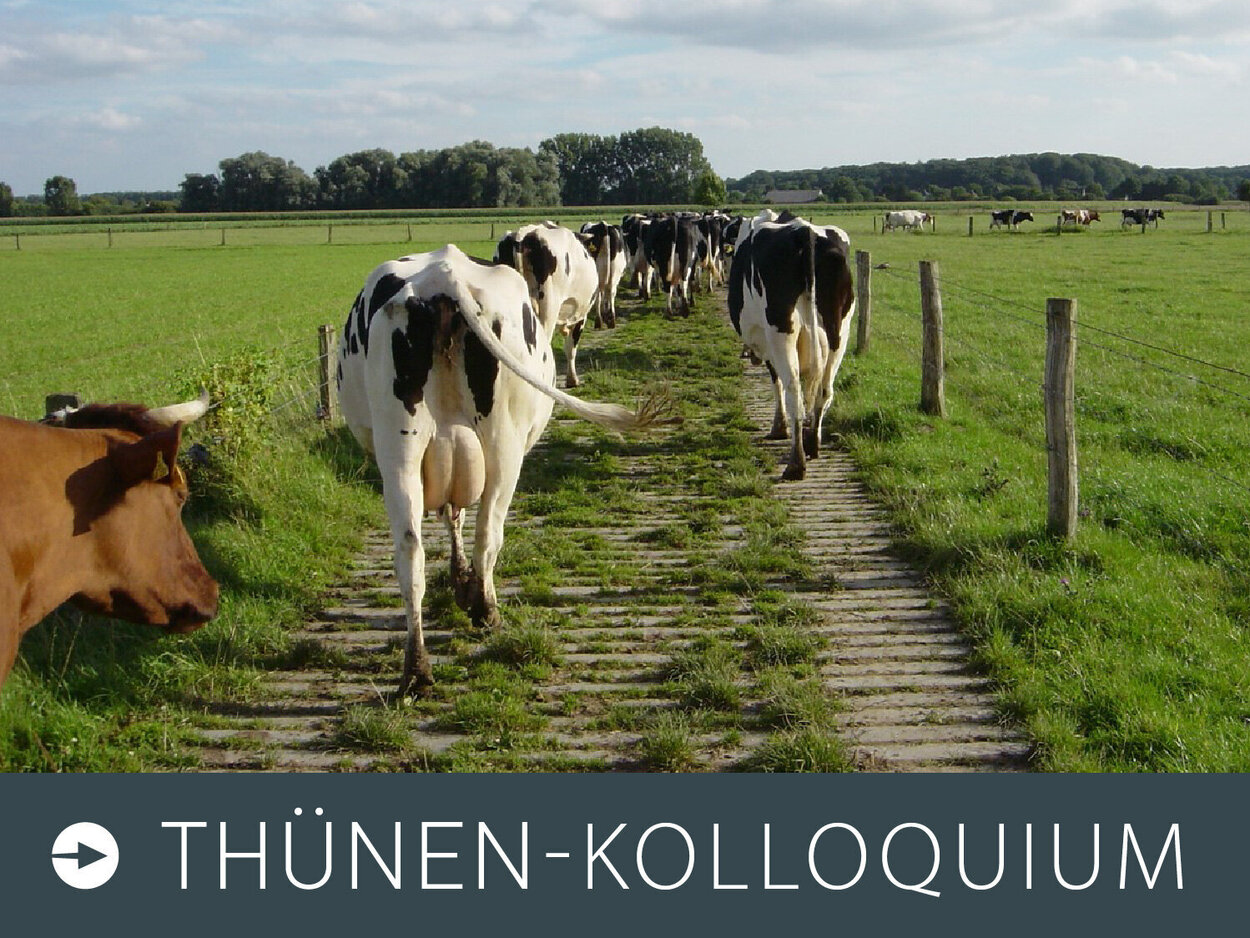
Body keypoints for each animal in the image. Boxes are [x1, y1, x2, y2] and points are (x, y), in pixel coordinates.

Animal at [337, 244, 657, 696]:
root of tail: (445, 276)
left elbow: (452, 515)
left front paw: (458, 580)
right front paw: (467, 590)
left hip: (399, 450)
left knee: (410, 550)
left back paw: (417, 670)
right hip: (504, 447)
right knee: (490, 531)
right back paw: (485, 611)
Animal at [728, 218, 856, 481]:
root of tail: (806, 232)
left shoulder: (768, 345)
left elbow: (776, 382)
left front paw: (779, 427)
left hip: (780, 333)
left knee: (794, 392)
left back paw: (796, 464)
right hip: (839, 332)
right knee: (824, 391)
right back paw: (812, 444)